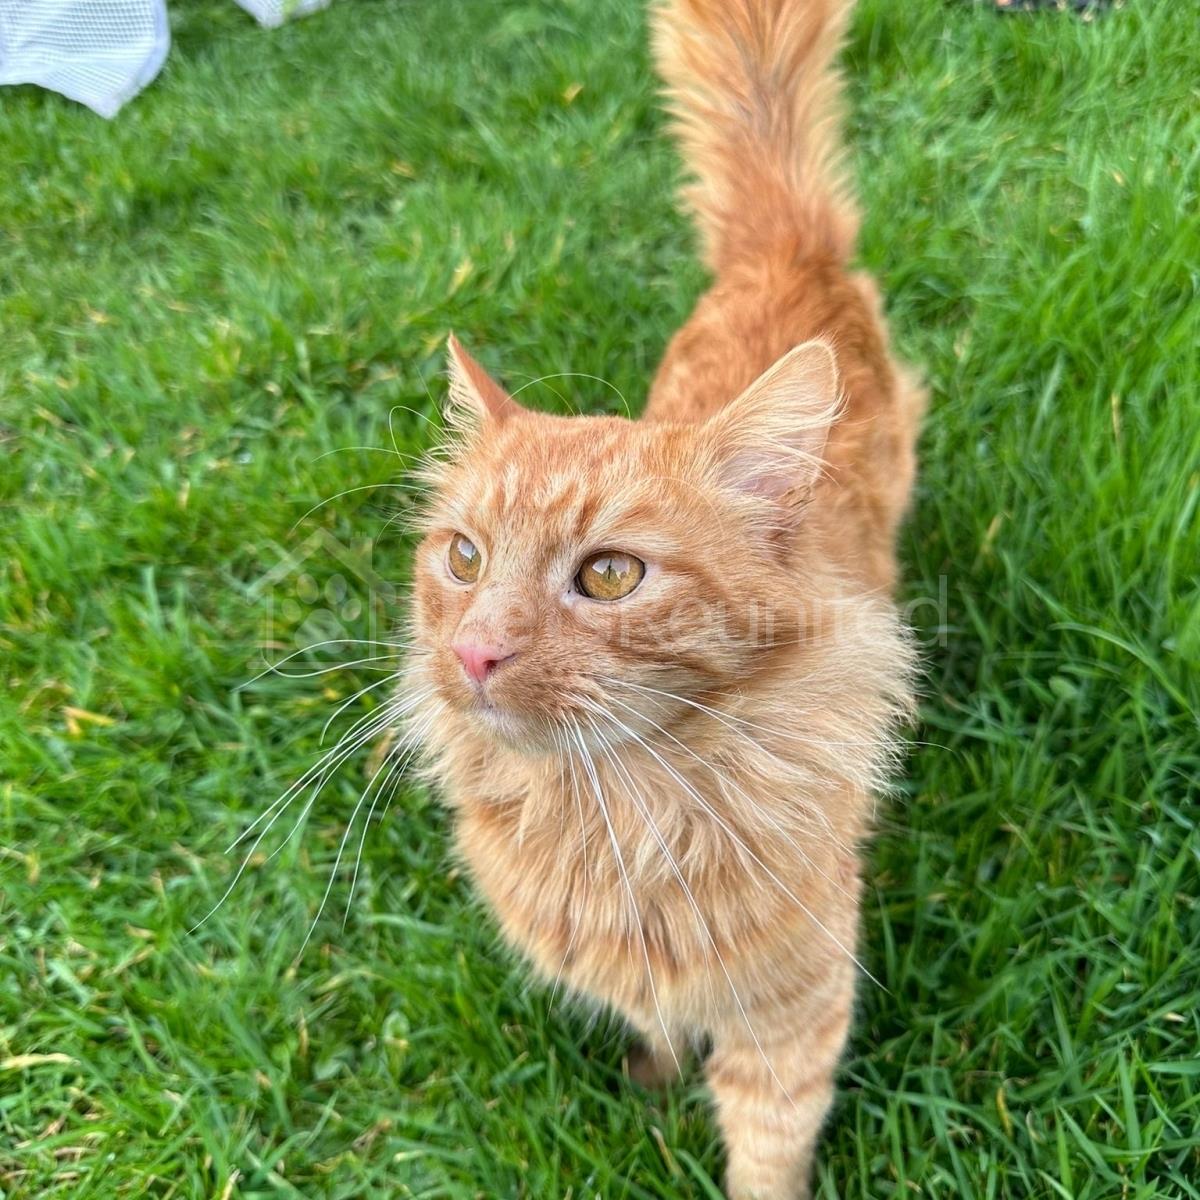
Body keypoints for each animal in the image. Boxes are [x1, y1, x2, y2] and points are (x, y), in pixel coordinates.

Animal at [401, 0, 924, 1195]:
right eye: (464, 559)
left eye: (610, 575)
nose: (476, 653)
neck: (613, 818)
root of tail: (781, 247)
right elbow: (652, 1026)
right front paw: (653, 1077)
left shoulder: (792, 1019)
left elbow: (764, 1158)